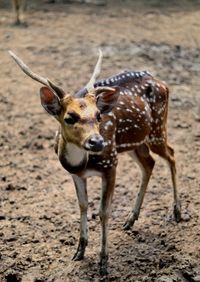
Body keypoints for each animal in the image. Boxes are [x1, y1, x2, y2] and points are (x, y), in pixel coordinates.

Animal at [9, 49, 181, 276]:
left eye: (99, 115)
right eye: (69, 117)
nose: (97, 141)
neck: (82, 163)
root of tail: (161, 82)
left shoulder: (111, 165)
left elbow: (103, 212)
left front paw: (103, 263)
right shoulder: (75, 174)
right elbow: (83, 206)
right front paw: (79, 251)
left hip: (157, 130)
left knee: (171, 154)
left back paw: (177, 212)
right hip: (135, 143)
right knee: (149, 164)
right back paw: (130, 219)